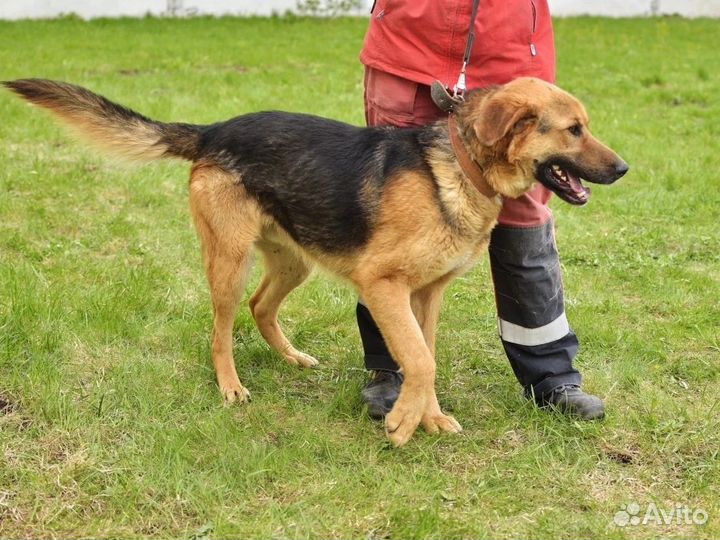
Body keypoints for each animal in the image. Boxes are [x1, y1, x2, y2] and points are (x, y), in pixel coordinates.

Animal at [4, 77, 624, 448]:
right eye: (574, 130)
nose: (623, 169)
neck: (460, 168)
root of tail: (212, 131)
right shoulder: (383, 286)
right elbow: (420, 362)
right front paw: (402, 421)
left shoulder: (425, 296)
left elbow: (423, 357)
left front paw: (426, 417)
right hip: (229, 262)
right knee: (221, 329)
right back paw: (230, 386)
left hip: (293, 262)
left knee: (261, 307)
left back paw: (292, 357)